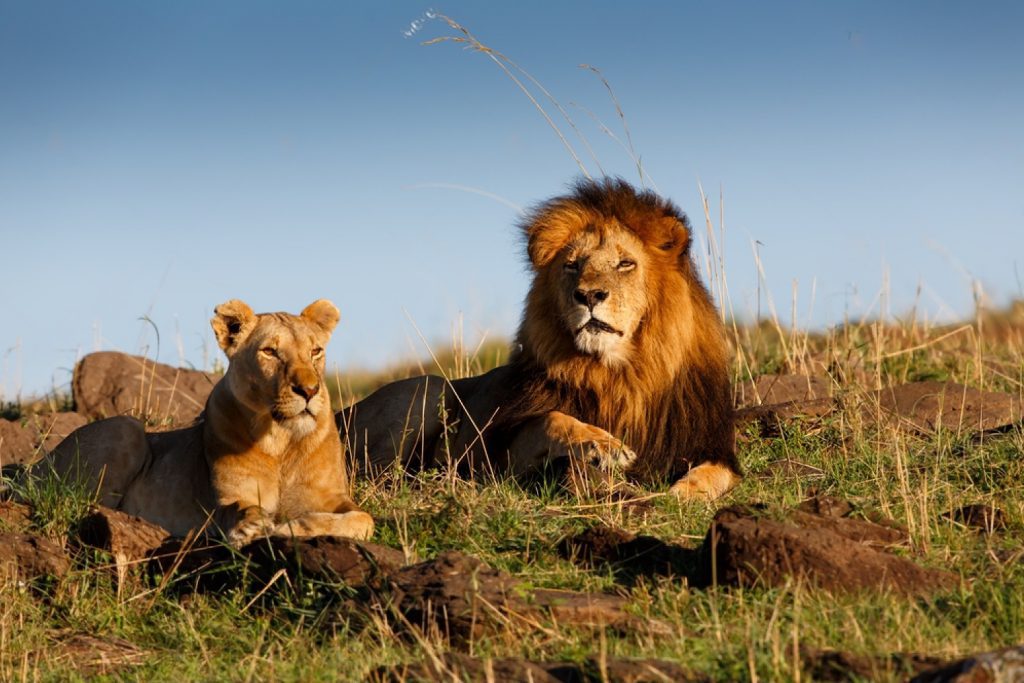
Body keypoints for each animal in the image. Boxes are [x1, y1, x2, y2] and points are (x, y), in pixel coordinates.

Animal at [33, 299, 376, 544]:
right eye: (270, 352)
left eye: (316, 351)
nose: (309, 390)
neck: (281, 439)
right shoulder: (229, 497)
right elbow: (238, 508)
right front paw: (251, 526)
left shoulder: (332, 497)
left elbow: (364, 519)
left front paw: (294, 527)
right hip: (124, 428)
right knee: (80, 505)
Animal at [346, 180, 745, 501]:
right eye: (572, 265)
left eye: (625, 264)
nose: (588, 295)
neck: (620, 374)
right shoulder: (504, 454)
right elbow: (553, 418)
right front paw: (604, 445)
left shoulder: (709, 445)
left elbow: (717, 474)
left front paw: (682, 494)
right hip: (428, 388)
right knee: (371, 472)